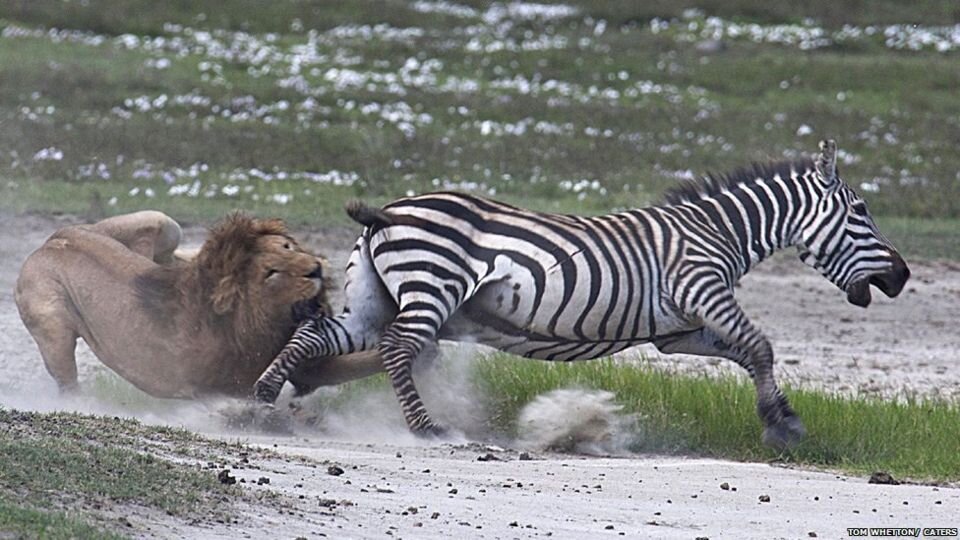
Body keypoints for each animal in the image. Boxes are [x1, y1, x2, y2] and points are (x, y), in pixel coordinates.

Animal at [14, 213, 382, 398]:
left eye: (288, 246)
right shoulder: (212, 388)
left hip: (162, 224)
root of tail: (53, 240)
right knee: (66, 378)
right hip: (52, 324)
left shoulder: (308, 368)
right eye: (271, 272)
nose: (316, 268)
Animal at [253, 138, 908, 448]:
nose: (901, 276)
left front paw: (781, 418)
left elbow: (748, 355)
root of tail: (390, 209)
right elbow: (763, 346)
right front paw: (782, 424)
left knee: (318, 333)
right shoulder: (702, 289)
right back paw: (426, 429)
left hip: (374, 298)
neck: (717, 231)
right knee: (396, 349)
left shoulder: (679, 332)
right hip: (430, 288)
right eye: (861, 212)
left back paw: (263, 403)